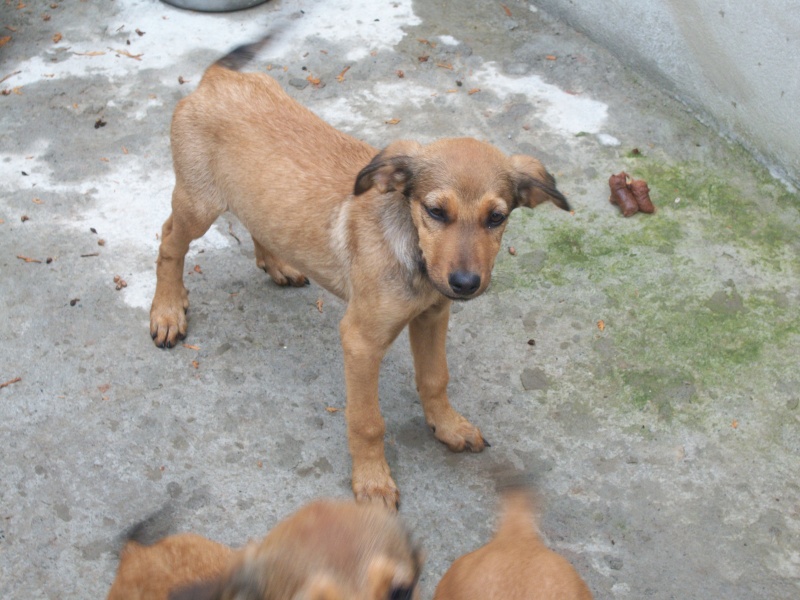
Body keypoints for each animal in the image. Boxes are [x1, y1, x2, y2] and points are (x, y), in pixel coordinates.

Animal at [148, 37, 568, 508]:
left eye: (497, 218)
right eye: (436, 212)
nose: (464, 285)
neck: (412, 252)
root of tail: (219, 77)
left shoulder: (433, 316)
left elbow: (435, 378)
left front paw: (449, 426)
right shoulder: (361, 341)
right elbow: (368, 422)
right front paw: (372, 482)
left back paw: (276, 263)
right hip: (198, 203)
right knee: (168, 243)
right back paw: (167, 311)